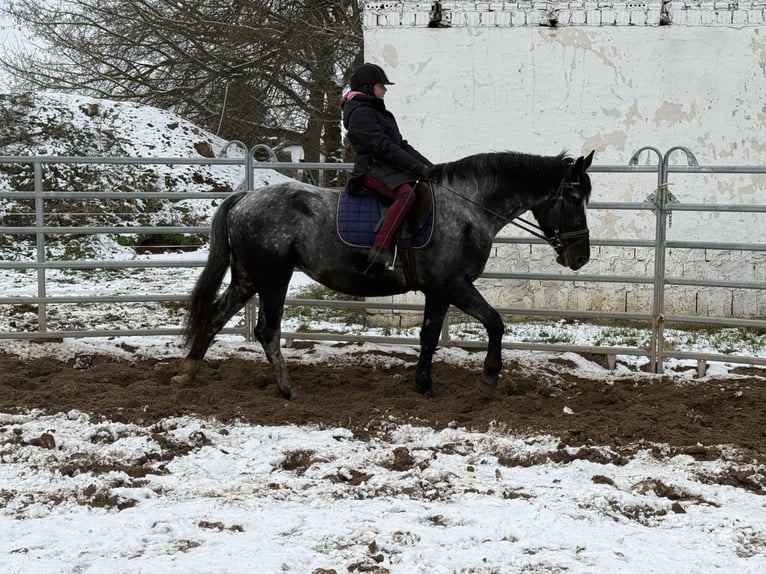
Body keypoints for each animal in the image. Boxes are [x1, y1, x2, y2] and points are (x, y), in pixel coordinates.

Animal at [171, 151, 596, 398]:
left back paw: (188, 373)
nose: (580, 256)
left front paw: (424, 385)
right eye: (574, 197)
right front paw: (489, 380)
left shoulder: (438, 290)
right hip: (273, 278)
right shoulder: (454, 284)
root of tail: (245, 197)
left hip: (248, 276)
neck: (467, 209)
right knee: (266, 330)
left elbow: (429, 335)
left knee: (214, 317)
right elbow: (495, 322)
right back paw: (286, 388)